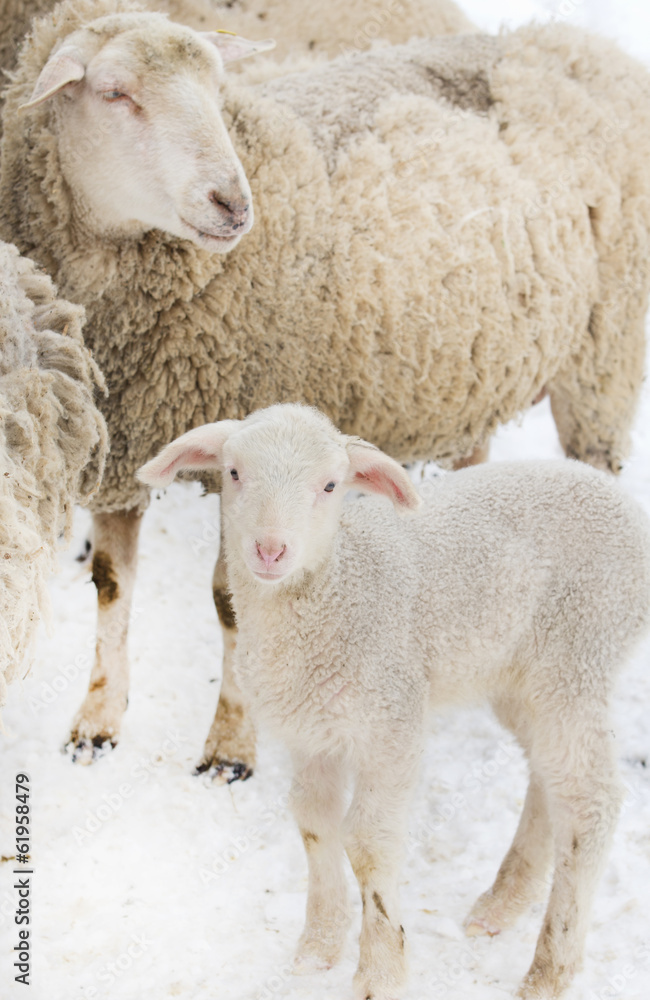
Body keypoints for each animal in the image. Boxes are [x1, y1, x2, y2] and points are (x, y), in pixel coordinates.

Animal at [2, 0, 650, 773]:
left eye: (217, 87)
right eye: (114, 92)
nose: (233, 204)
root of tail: (586, 45)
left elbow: (231, 602)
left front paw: (231, 745)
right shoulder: (130, 445)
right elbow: (111, 584)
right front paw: (97, 721)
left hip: (604, 358)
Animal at [138, 401, 650, 1000]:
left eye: (330, 485)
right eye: (235, 473)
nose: (270, 550)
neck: (339, 589)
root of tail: (620, 501)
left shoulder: (392, 721)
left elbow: (368, 843)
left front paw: (380, 970)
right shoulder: (312, 731)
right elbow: (313, 821)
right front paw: (320, 943)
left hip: (579, 653)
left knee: (591, 802)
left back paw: (549, 970)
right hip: (521, 676)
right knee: (552, 780)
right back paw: (503, 904)